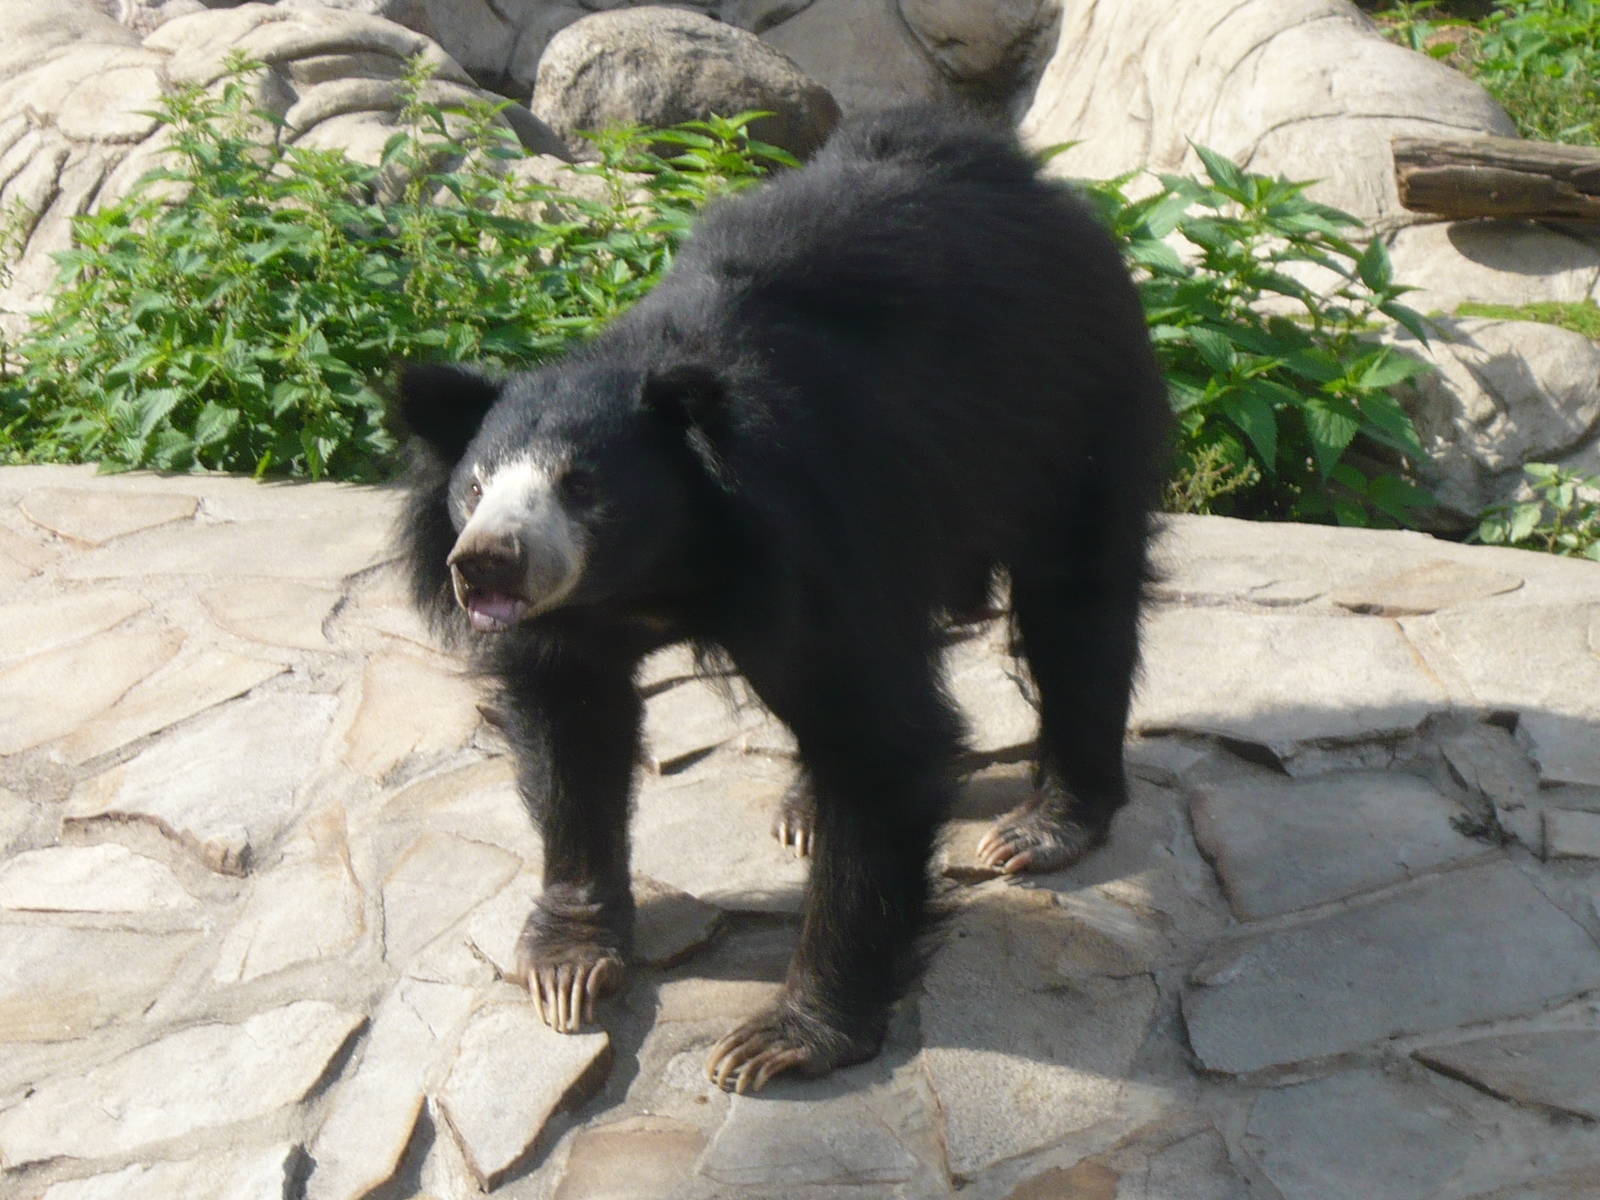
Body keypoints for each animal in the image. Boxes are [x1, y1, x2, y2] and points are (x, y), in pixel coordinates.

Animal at [393, 106, 1169, 1093]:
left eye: (579, 485)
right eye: (477, 485)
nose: (487, 563)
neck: (655, 572)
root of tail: (1028, 180)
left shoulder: (813, 543)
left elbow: (882, 743)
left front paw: (779, 1041)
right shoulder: (570, 623)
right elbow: (570, 729)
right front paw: (567, 968)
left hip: (1071, 406)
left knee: (1076, 600)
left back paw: (1042, 827)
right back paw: (804, 811)